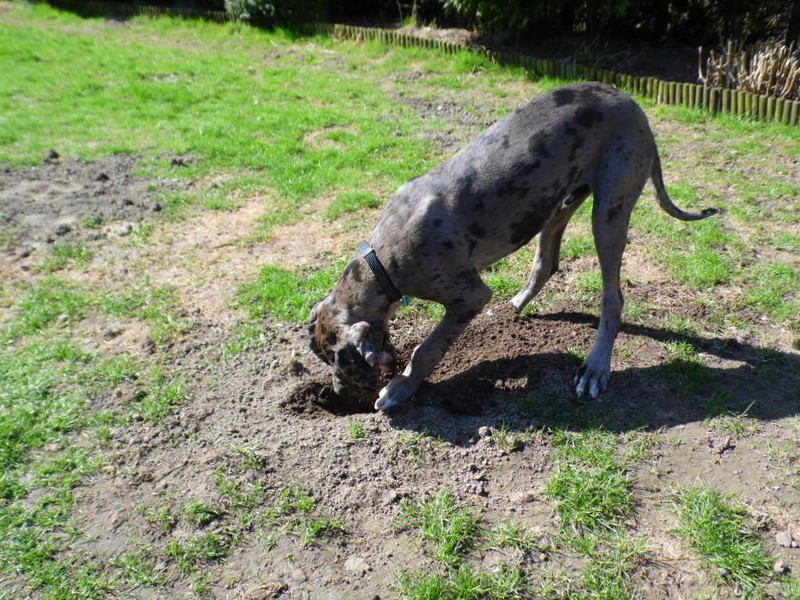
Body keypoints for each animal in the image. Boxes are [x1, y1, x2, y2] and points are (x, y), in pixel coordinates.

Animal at [309, 82, 718, 411]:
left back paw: (595, 367)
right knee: (547, 261)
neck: (380, 264)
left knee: (612, 298)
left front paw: (401, 388)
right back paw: (517, 305)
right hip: (558, 201)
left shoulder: (469, 295)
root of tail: (632, 102)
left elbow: (427, 348)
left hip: (609, 213)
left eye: (342, 363)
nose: (337, 396)